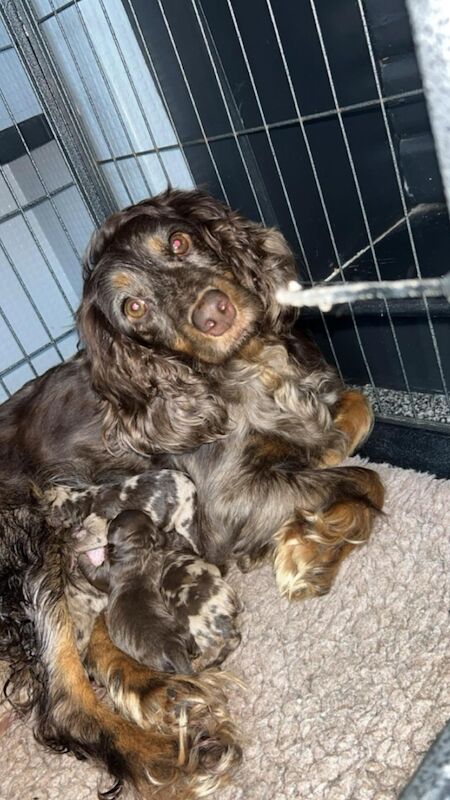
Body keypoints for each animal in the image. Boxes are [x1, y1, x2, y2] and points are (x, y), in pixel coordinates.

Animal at [0, 188, 384, 792]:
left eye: (178, 242)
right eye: (133, 309)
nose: (213, 313)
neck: (246, 371)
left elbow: (353, 412)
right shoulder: (222, 503)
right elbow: (364, 480)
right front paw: (308, 553)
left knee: (98, 638)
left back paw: (163, 693)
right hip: (31, 540)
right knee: (65, 701)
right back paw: (174, 758)